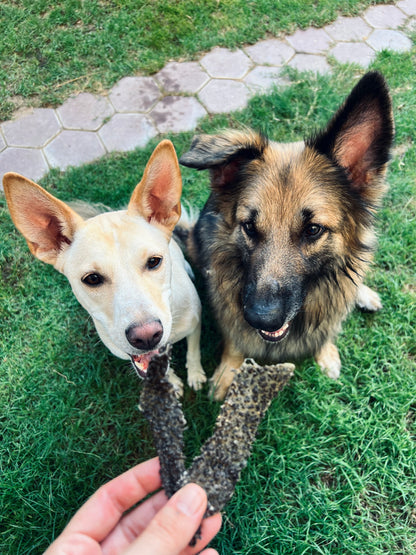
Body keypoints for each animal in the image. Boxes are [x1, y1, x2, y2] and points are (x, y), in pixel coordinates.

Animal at [3, 139, 205, 390]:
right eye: (92, 278)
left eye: (154, 262)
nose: (147, 336)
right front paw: (171, 382)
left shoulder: (196, 324)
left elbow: (193, 353)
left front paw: (195, 375)